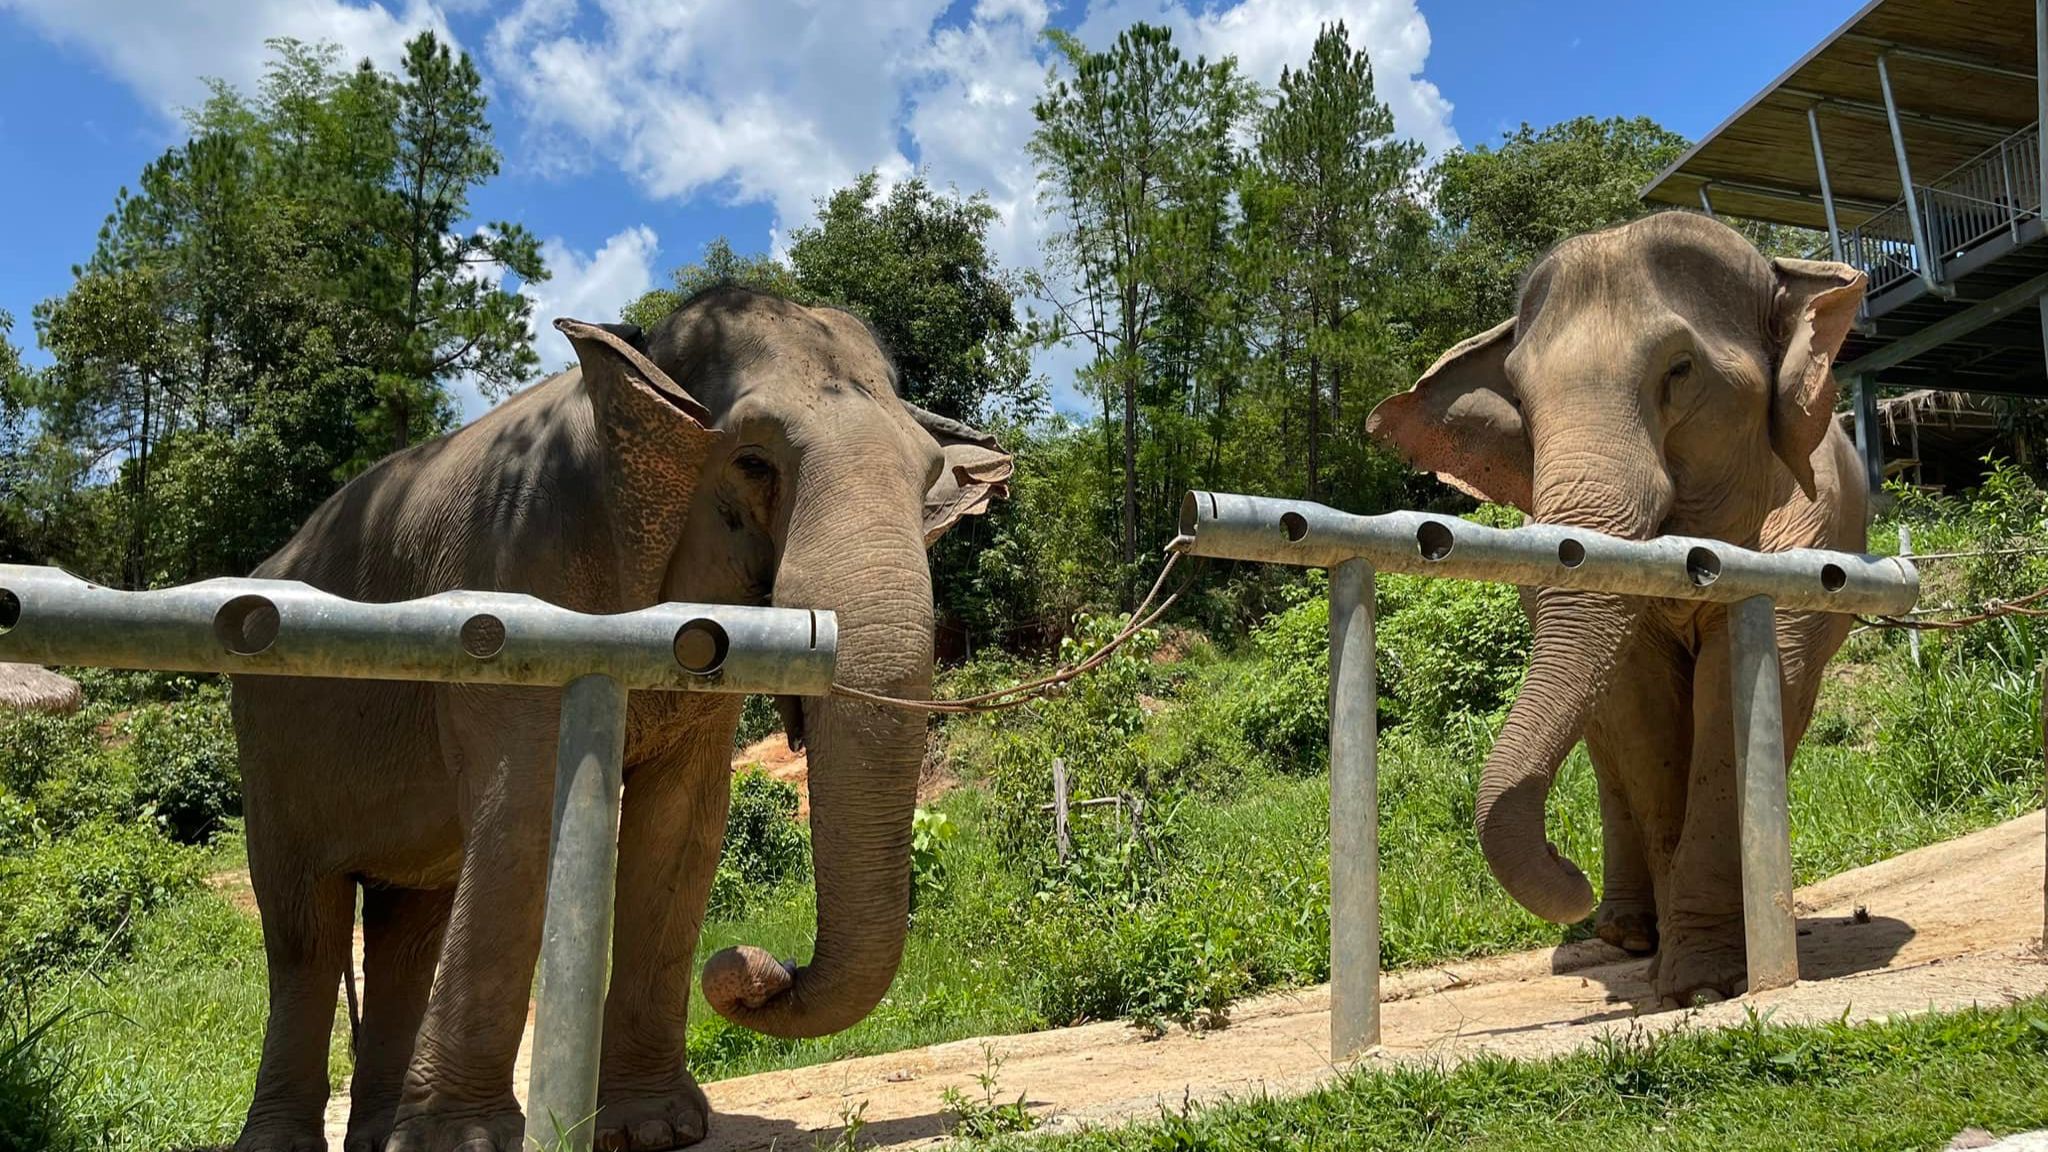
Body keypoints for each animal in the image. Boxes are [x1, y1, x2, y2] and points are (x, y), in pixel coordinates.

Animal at [227, 287, 1011, 1152]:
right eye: (753, 462)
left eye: (929, 478)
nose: (747, 968)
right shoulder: (517, 580)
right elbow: (522, 813)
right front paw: (465, 1145)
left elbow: (682, 828)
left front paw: (655, 1129)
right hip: (269, 731)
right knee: (304, 927)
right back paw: (289, 1143)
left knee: (409, 918)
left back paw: (374, 1139)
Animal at [1366, 210, 1868, 1007]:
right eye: (1519, 397)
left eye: (1680, 371)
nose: (1562, 867)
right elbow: (1642, 707)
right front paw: (1684, 975)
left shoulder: (1807, 533)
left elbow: (1739, 698)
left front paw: (1702, 983)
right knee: (1609, 744)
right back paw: (1628, 934)